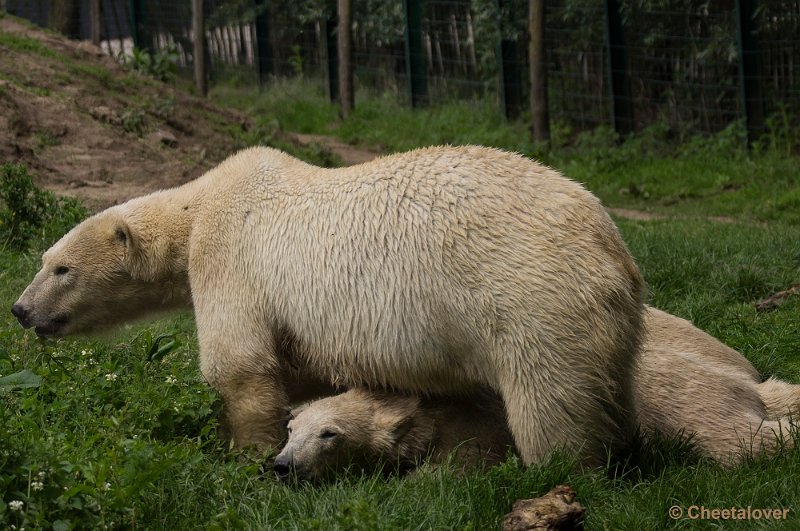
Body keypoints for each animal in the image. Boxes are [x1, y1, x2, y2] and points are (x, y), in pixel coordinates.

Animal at [12, 145, 648, 466]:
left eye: (60, 268)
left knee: (552, 407)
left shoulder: (230, 256)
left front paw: (246, 456)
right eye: (45, 260)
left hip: (529, 299)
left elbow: (238, 365)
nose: (20, 309)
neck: (197, 208)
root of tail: (612, 248)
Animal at [276, 308, 800, 482]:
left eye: (329, 434)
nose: (283, 465)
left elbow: (454, 469)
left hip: (677, 402)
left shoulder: (475, 427)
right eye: (291, 428)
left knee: (733, 440)